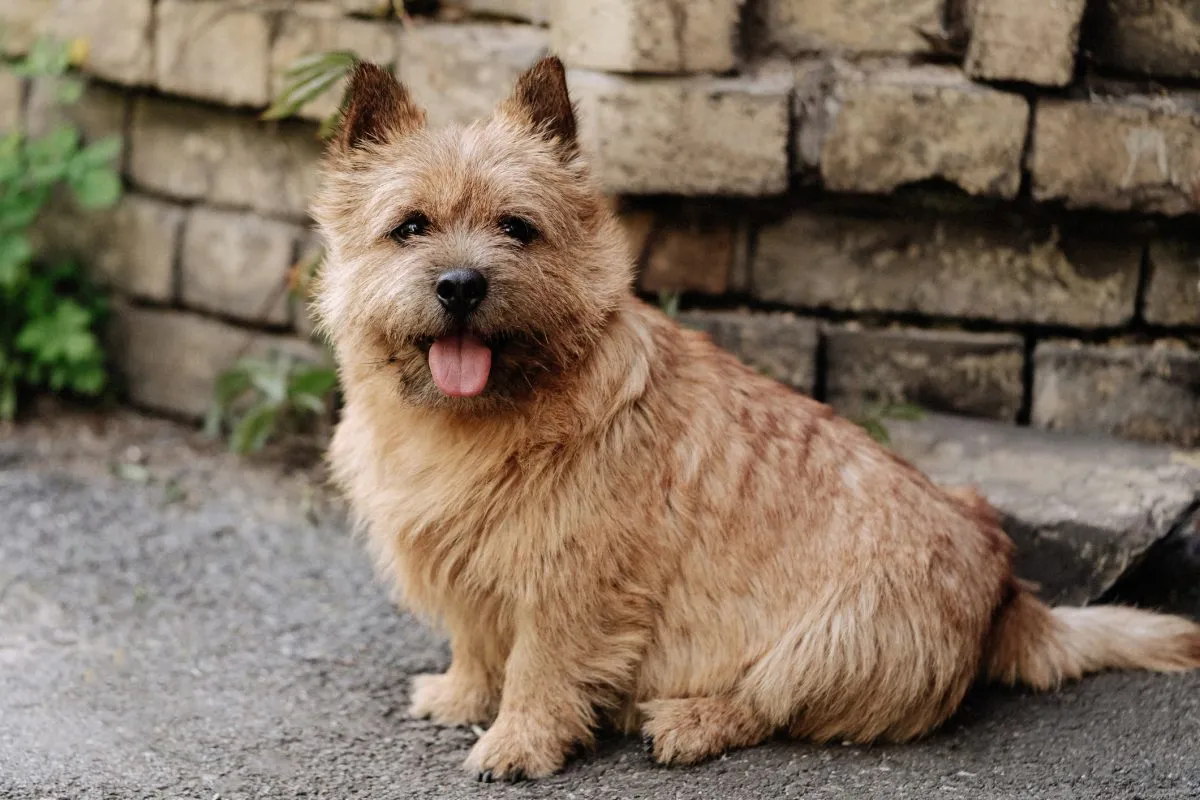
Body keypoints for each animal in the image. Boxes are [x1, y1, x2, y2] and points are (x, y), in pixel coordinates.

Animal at [312, 57, 1200, 782]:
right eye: (410, 226)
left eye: (516, 228)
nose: (461, 284)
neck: (474, 422)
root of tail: (1012, 592)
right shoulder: (461, 557)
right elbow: (474, 636)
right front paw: (462, 696)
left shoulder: (573, 581)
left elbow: (538, 667)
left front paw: (516, 743)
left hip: (838, 632)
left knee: (771, 703)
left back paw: (689, 720)